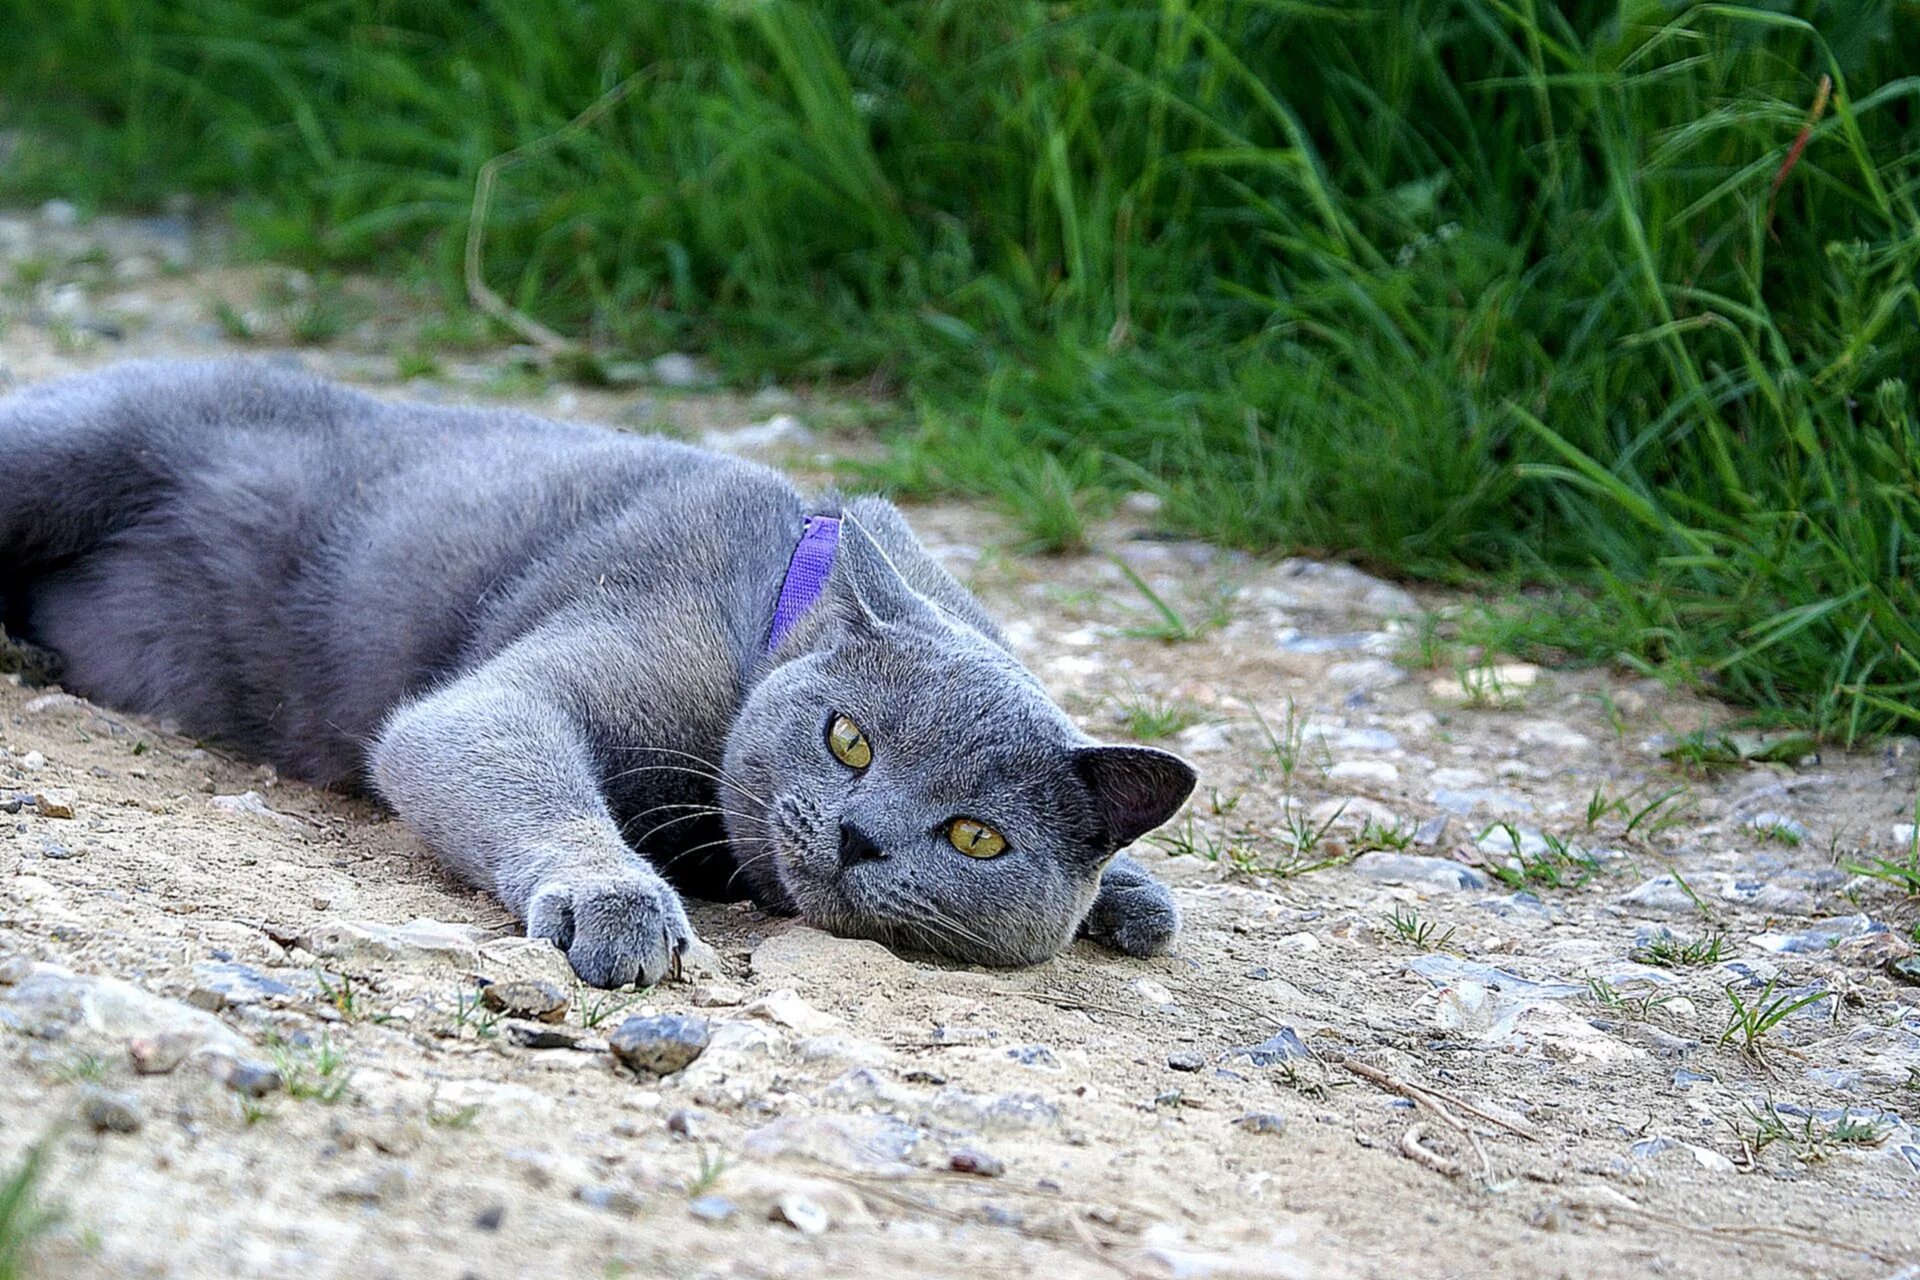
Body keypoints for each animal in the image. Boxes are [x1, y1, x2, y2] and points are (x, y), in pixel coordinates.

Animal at [0, 360, 1190, 990]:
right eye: (848, 738)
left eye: (977, 837)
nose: (860, 835)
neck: (772, 607)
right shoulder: (538, 675)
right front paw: (615, 899)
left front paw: (1131, 893)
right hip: (67, 449)